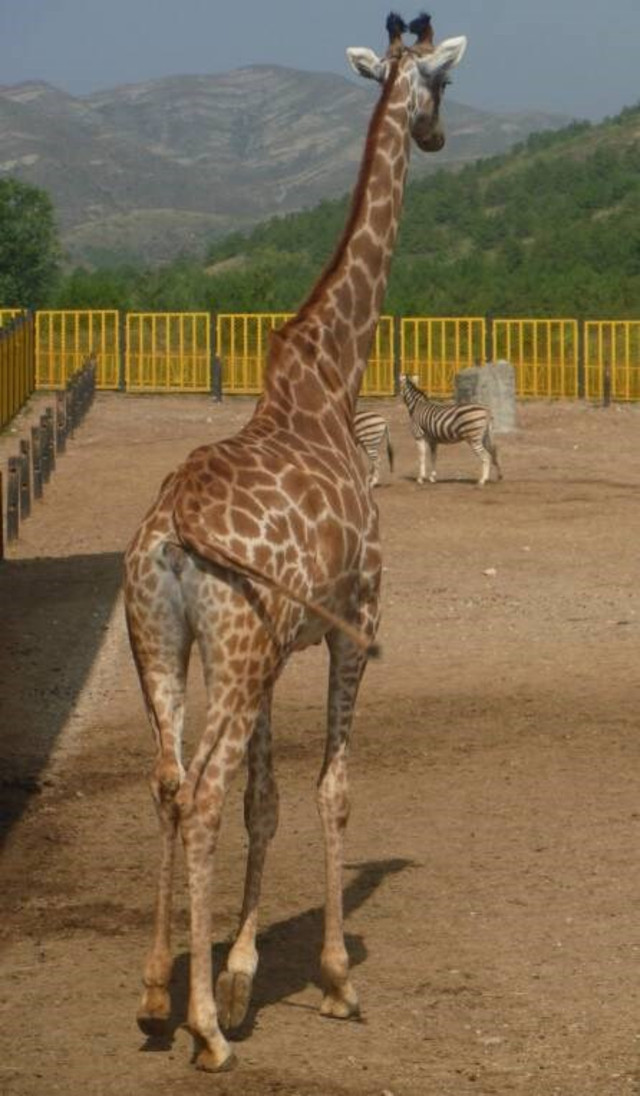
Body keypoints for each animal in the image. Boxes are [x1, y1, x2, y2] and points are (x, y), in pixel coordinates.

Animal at [123, 8, 464, 1069]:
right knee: (197, 791)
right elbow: (329, 789)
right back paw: (202, 1034)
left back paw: (157, 996)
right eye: (444, 84)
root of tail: (173, 525)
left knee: (169, 780)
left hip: (168, 642)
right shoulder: (356, 626)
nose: (437, 136)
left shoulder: (280, 652)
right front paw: (334, 980)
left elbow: (266, 801)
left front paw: (235, 977)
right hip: (234, 650)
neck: (330, 379)